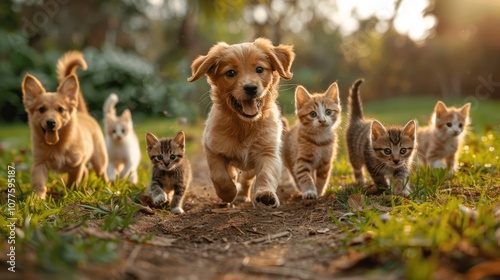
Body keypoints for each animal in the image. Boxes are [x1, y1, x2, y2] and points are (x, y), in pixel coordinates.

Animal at [189, 37, 294, 208]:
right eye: (230, 73)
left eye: (259, 69)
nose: (251, 88)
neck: (244, 124)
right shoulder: (212, 148)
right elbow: (220, 175)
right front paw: (229, 193)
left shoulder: (268, 151)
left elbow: (266, 174)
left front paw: (265, 194)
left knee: (247, 178)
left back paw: (244, 195)